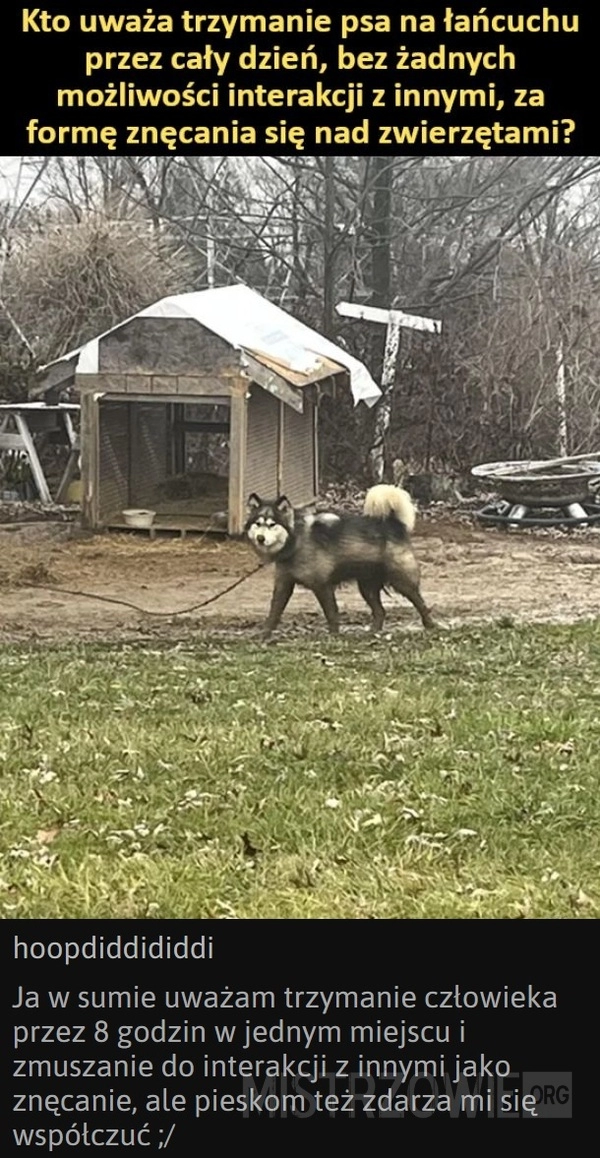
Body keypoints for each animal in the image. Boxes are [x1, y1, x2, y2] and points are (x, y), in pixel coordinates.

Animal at [245, 484, 437, 639]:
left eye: (272, 524)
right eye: (258, 523)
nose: (260, 538)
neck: (296, 541)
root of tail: (392, 524)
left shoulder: (322, 586)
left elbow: (331, 613)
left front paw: (334, 635)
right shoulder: (283, 585)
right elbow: (274, 613)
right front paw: (264, 635)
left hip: (401, 581)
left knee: (420, 603)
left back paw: (431, 625)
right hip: (367, 587)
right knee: (380, 611)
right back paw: (372, 632)